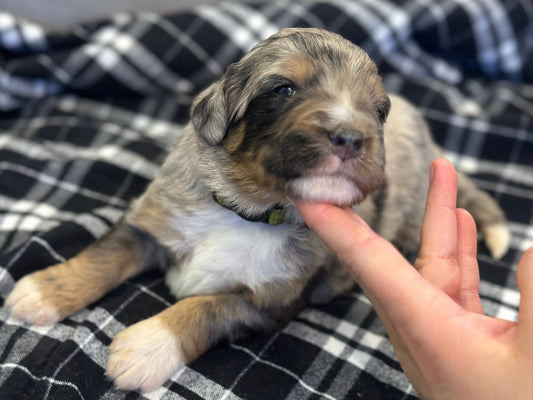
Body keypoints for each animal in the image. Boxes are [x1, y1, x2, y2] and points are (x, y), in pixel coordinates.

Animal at [5, 29, 512, 392]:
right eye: (284, 89)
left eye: (377, 111)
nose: (352, 137)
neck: (248, 208)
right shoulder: (151, 222)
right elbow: (103, 255)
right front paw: (41, 292)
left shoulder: (269, 301)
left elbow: (204, 308)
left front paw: (143, 348)